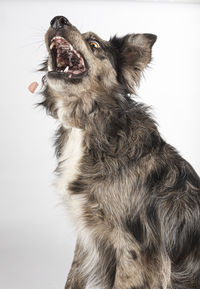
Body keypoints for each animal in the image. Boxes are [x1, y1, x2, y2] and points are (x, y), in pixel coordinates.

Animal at [39, 16, 200, 288]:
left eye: (94, 43)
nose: (58, 20)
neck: (87, 123)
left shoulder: (134, 245)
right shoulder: (86, 233)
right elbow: (73, 277)